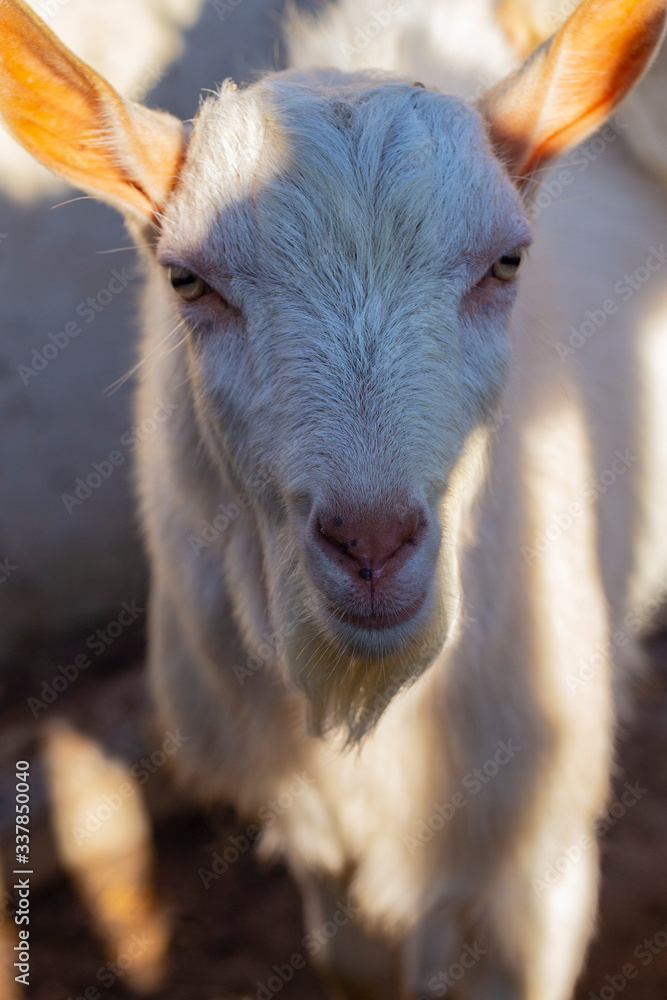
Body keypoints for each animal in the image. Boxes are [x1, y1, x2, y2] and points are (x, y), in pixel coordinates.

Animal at [2, 0, 667, 996]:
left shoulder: (532, 851)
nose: (371, 543)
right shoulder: (319, 830)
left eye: (508, 262)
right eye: (186, 280)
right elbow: (349, 960)